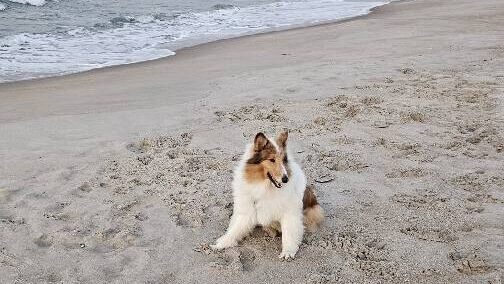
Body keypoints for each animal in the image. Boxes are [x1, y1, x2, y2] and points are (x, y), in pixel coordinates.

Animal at [212, 131, 322, 260]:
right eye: (272, 159)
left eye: (283, 160)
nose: (285, 179)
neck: (266, 186)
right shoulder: (248, 210)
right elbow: (235, 229)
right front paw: (221, 243)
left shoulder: (289, 213)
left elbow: (288, 233)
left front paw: (288, 251)